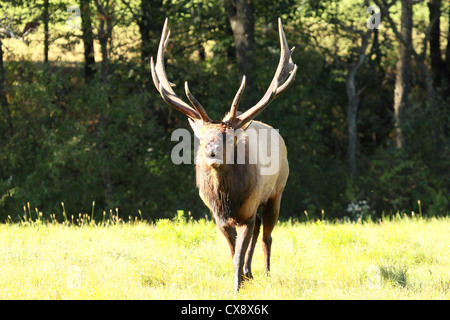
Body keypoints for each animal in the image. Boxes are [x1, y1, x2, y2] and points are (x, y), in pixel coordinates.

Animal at [153, 18, 298, 292]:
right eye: (202, 139)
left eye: (228, 138)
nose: (212, 154)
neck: (227, 200)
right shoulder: (218, 217)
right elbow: (233, 254)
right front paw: (241, 279)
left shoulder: (247, 210)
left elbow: (239, 252)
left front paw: (237, 286)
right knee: (259, 229)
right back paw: (250, 273)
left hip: (277, 191)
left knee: (267, 235)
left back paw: (266, 273)